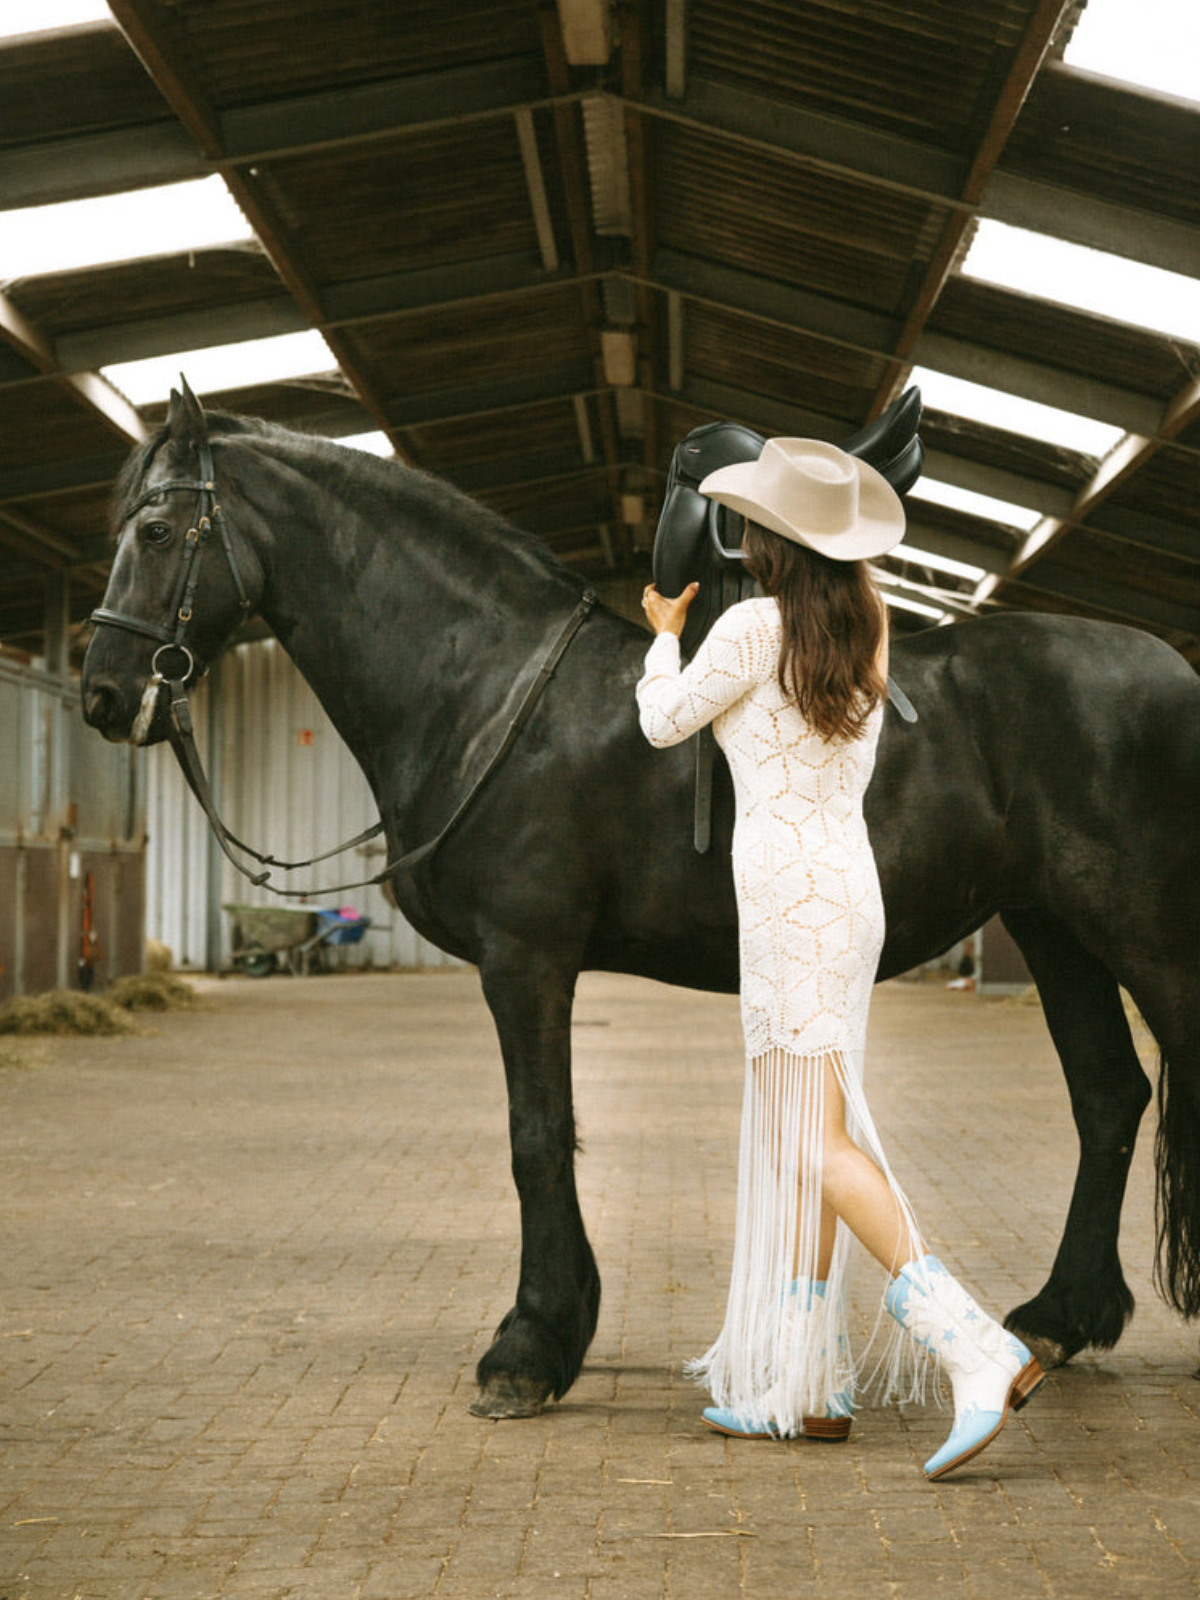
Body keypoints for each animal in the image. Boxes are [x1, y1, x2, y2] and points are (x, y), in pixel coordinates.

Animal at [82, 393, 1200, 1420]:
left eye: (155, 531)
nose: (103, 694)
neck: (488, 689)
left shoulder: (526, 957)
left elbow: (537, 1134)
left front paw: (530, 1346)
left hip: (1137, 934)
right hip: (1055, 931)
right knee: (1109, 1098)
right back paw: (1059, 1318)